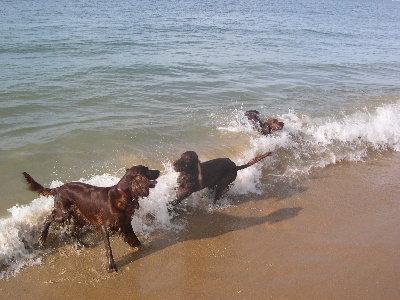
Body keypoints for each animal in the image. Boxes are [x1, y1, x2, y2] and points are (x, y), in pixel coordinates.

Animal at [22, 165, 159, 274]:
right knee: (48, 218)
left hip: (80, 216)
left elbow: (134, 238)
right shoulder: (105, 227)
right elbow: (108, 248)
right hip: (63, 214)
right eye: (147, 170)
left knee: (73, 231)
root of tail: (59, 188)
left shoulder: (125, 223)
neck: (122, 195)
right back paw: (42, 238)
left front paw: (140, 246)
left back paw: (79, 244)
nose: (158, 171)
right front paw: (111, 266)